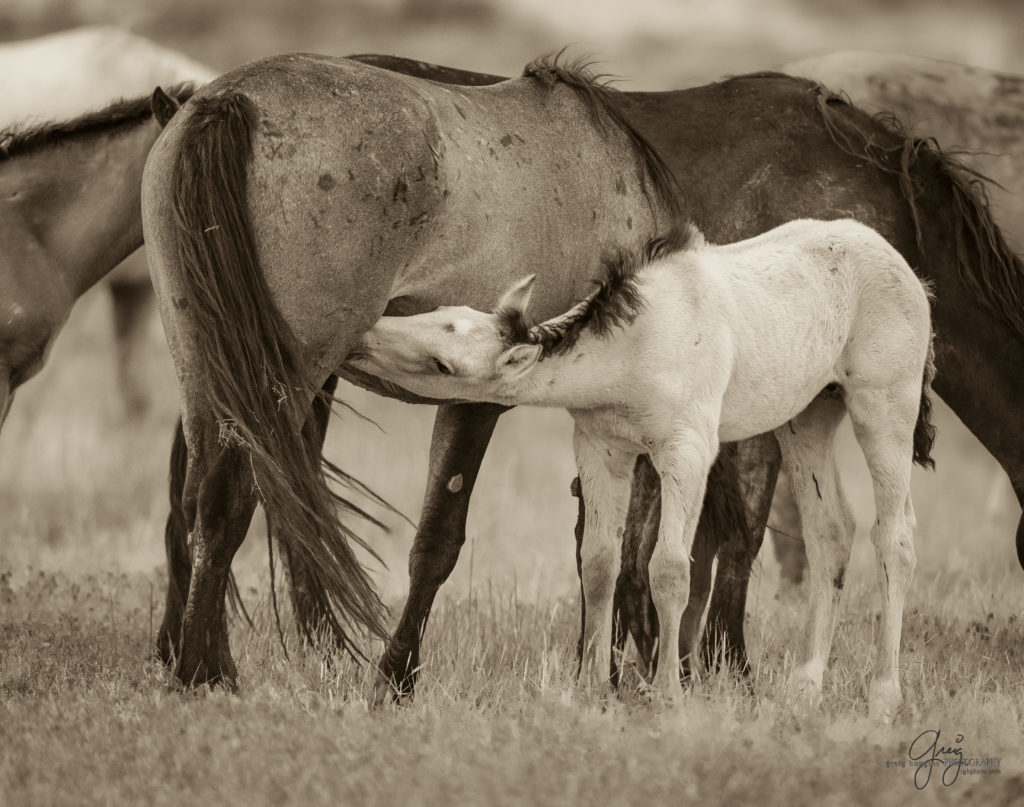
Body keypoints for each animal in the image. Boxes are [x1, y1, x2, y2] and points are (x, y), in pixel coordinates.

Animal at [352, 219, 937, 716]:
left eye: (443, 363)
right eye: (438, 316)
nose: (365, 335)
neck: (639, 343)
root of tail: (903, 267)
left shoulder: (687, 450)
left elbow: (670, 568)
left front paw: (668, 695)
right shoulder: (601, 448)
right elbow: (599, 562)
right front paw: (590, 688)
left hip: (885, 408)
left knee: (896, 536)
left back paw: (884, 697)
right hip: (809, 418)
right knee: (831, 531)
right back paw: (806, 687)